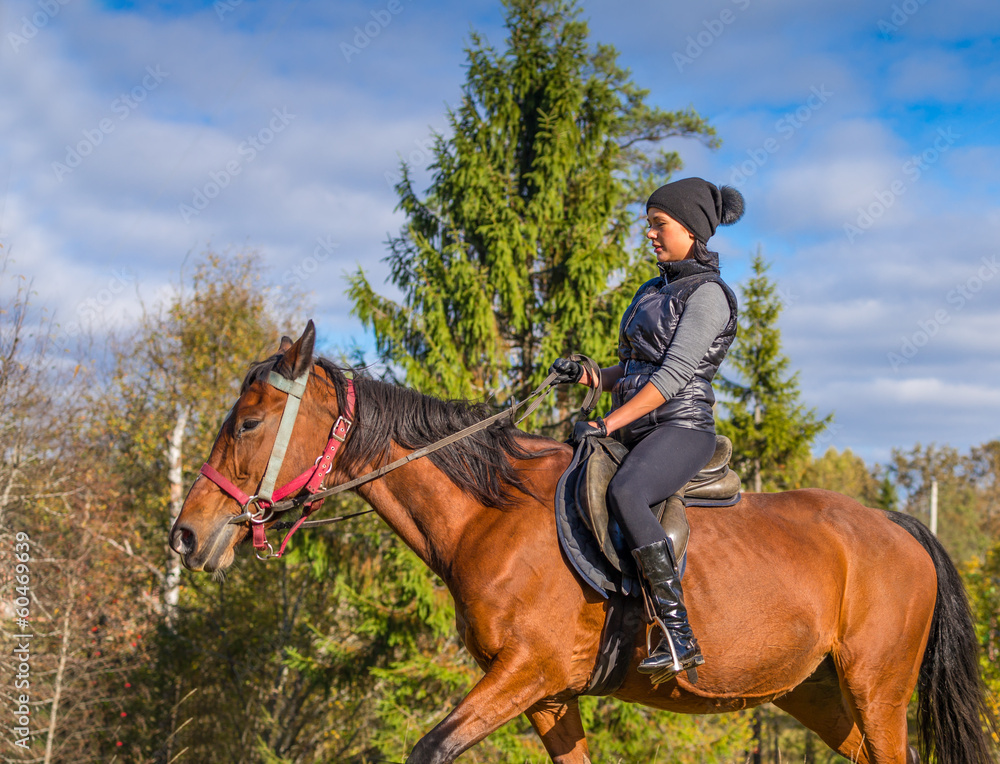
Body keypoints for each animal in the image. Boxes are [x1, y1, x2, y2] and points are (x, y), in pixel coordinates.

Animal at [170, 322, 997, 764]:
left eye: (248, 422)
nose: (187, 535)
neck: (490, 513)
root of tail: (899, 526)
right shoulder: (548, 694)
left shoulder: (527, 672)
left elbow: (430, 747)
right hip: (820, 695)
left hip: (876, 688)